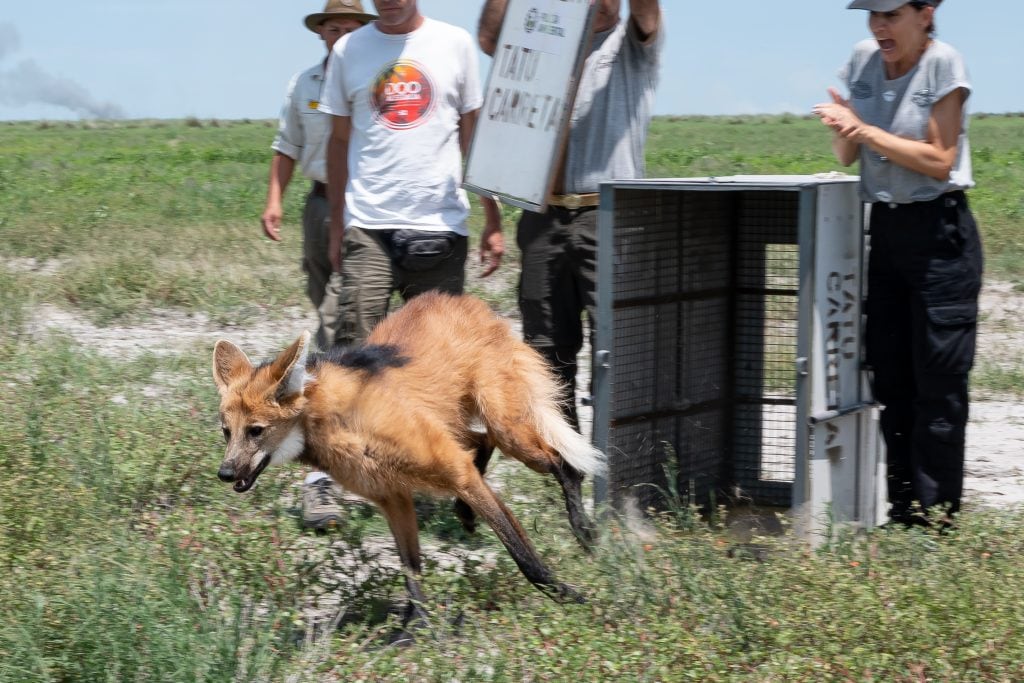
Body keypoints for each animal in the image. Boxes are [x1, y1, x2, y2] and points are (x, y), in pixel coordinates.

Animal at [210, 290, 602, 610]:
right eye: (227, 432)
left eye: (256, 431)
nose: (225, 473)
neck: (333, 423)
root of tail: (462, 299)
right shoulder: (392, 496)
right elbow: (411, 571)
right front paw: (417, 632)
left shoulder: (450, 471)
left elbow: (523, 555)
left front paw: (571, 596)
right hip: (458, 424)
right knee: (481, 441)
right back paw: (466, 513)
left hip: (509, 429)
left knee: (560, 463)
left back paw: (584, 531)